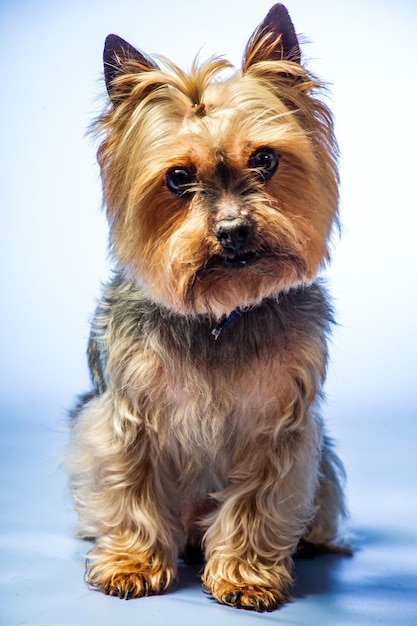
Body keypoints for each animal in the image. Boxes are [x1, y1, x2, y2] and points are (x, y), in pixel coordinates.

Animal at [64, 4, 344, 608]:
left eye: (264, 159)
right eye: (178, 177)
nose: (234, 230)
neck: (219, 315)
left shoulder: (279, 426)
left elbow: (258, 499)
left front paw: (245, 574)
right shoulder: (126, 419)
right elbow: (130, 486)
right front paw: (133, 563)